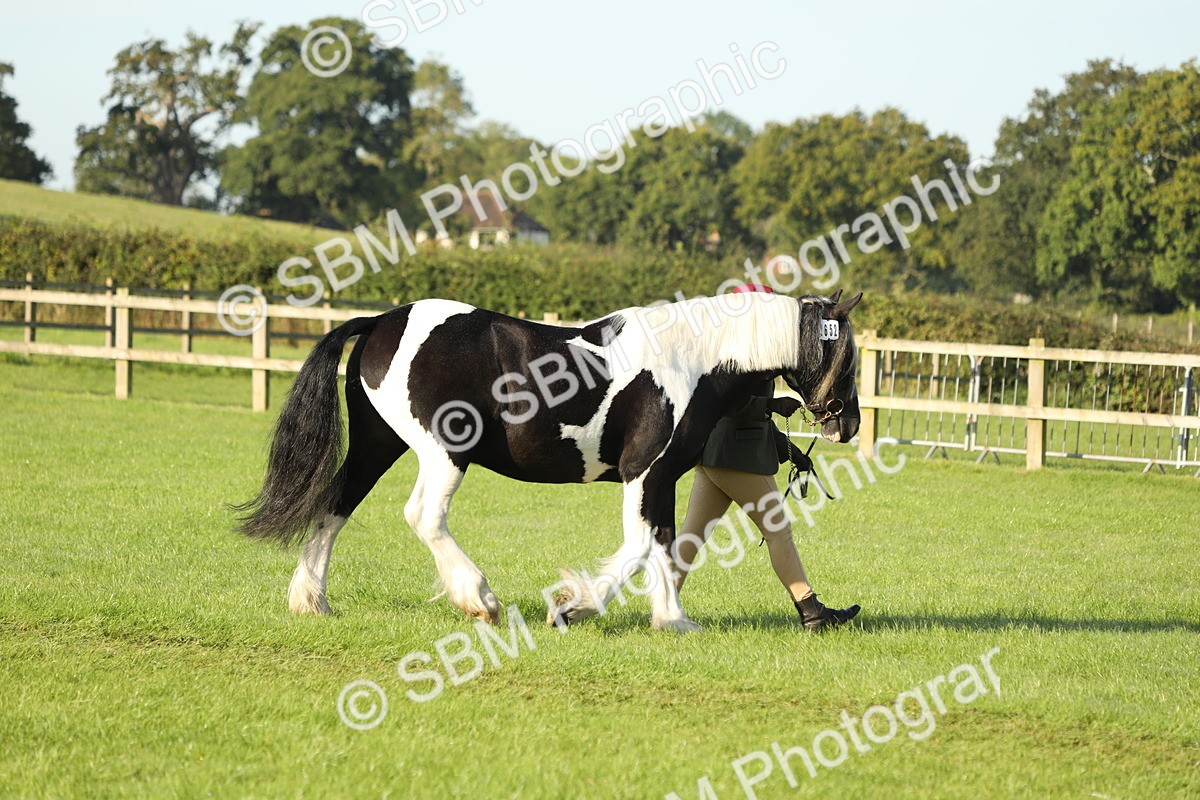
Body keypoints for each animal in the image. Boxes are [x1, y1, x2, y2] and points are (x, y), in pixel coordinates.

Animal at [235, 289, 862, 632]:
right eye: (848, 355)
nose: (849, 423)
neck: (690, 360)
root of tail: (380, 323)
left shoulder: (661, 478)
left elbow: (662, 543)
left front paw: (674, 620)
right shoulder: (643, 471)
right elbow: (640, 546)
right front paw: (571, 607)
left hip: (377, 445)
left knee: (335, 505)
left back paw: (311, 601)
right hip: (444, 452)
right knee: (423, 516)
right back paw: (480, 600)